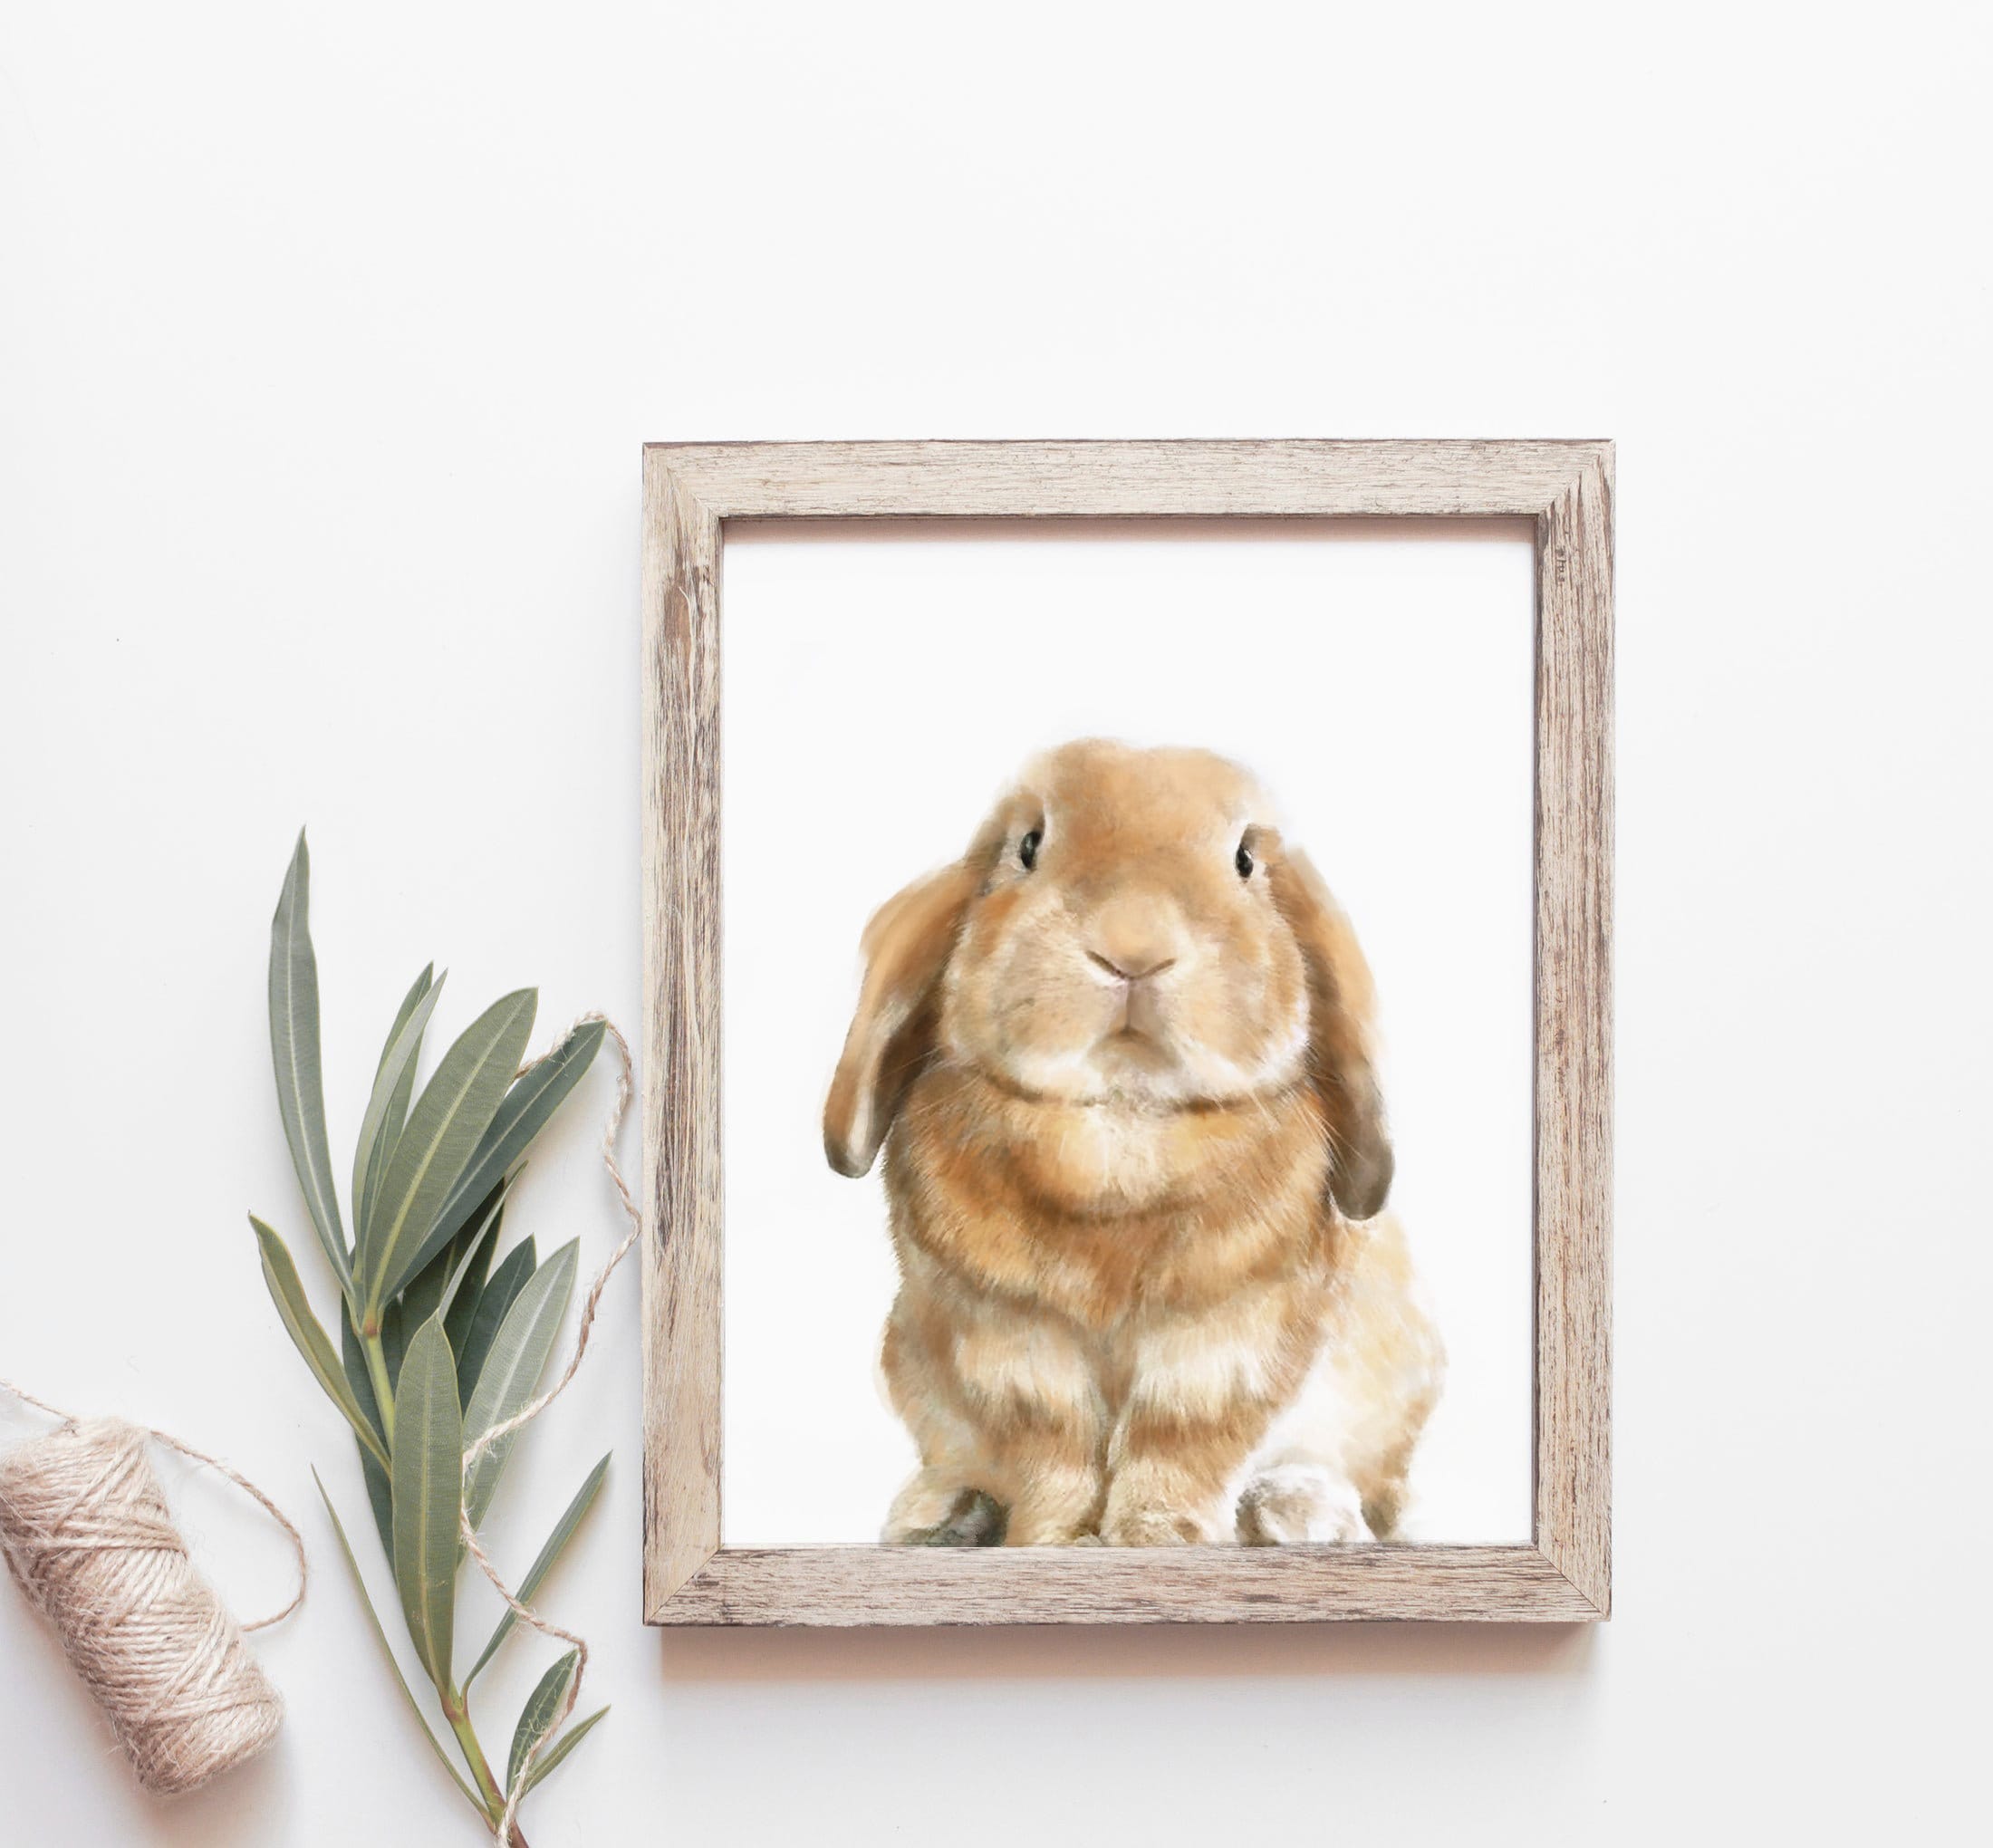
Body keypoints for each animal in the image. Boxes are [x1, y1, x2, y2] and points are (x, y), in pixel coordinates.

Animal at [824, 738, 1444, 1547]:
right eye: (1029, 846)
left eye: (1245, 860)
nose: (1134, 948)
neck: (1123, 1121)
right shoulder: (1010, 1340)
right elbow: (1051, 1446)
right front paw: (1054, 1540)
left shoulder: (1228, 1339)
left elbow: (1179, 1441)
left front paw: (1161, 1537)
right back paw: (940, 1513)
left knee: (1366, 1486)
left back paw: (1300, 1515)